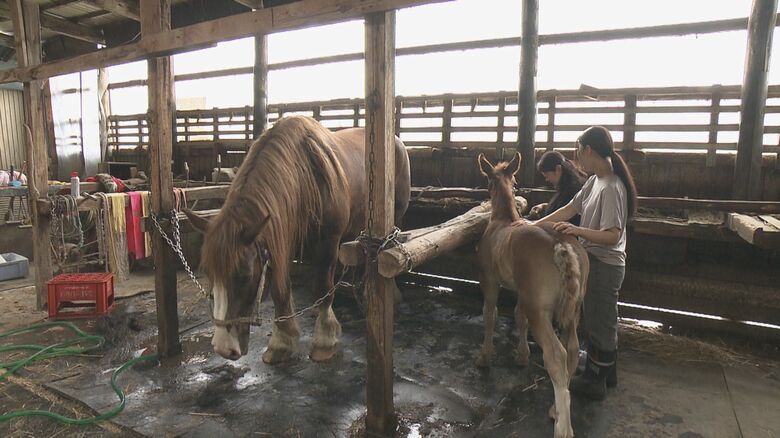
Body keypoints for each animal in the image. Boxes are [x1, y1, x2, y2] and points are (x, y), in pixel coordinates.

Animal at [185, 116, 411, 363]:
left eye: (244, 276)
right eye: (209, 273)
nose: (224, 348)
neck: (304, 177)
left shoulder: (328, 242)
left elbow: (323, 285)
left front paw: (325, 340)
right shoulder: (280, 240)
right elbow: (280, 290)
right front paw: (281, 342)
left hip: (395, 215)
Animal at [476, 152, 588, 438]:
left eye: (488, 182)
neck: (503, 221)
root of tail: (561, 245)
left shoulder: (489, 280)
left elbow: (489, 314)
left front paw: (485, 357)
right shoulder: (522, 291)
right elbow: (518, 316)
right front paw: (522, 355)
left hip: (542, 311)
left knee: (557, 355)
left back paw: (563, 427)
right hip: (573, 309)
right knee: (572, 348)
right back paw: (555, 409)